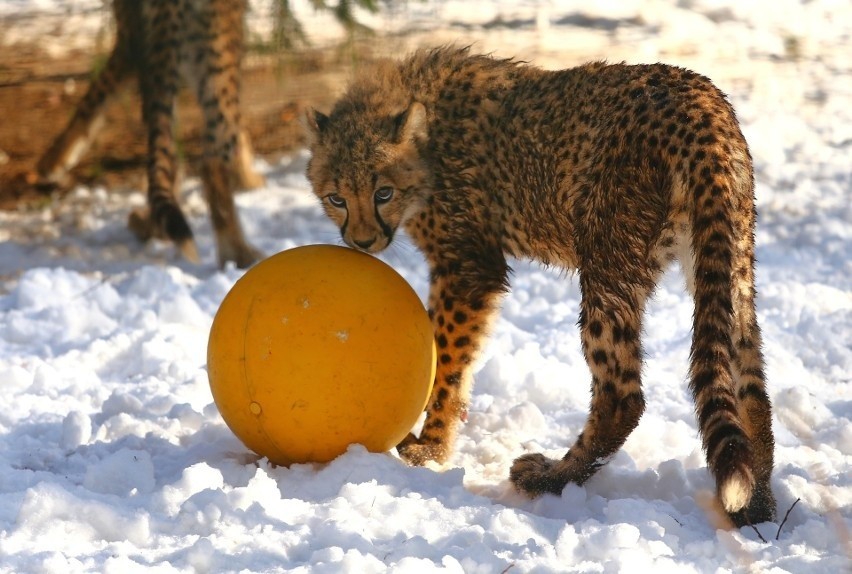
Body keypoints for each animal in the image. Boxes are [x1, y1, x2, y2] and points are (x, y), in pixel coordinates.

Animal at [35, 0, 262, 270]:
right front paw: (249, 179)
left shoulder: (136, 39)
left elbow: (100, 94)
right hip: (217, 44)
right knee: (211, 159)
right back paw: (238, 254)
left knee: (164, 141)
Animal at [306, 47, 780, 528]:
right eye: (336, 199)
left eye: (382, 193)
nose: (363, 242)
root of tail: (700, 100)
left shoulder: (468, 269)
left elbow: (447, 359)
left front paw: (430, 448)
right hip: (727, 259)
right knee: (750, 381)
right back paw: (757, 507)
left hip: (608, 264)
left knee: (622, 396)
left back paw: (550, 476)